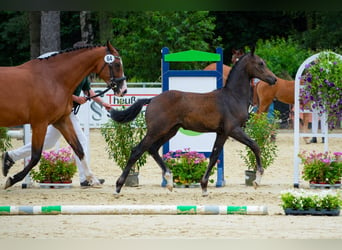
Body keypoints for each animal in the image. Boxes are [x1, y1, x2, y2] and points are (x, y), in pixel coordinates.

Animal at [0, 41, 127, 189]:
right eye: (117, 64)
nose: (124, 90)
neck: (53, 79)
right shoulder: (40, 123)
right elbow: (36, 156)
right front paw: (12, 179)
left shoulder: (61, 121)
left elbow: (79, 149)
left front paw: (92, 179)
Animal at [110, 48, 278, 196]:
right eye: (260, 63)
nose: (274, 79)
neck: (233, 97)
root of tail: (152, 100)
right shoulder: (233, 130)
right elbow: (254, 145)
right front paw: (257, 180)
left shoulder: (222, 133)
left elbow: (214, 156)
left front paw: (204, 187)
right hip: (156, 130)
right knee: (137, 151)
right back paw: (118, 187)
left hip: (170, 130)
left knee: (152, 149)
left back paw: (169, 181)